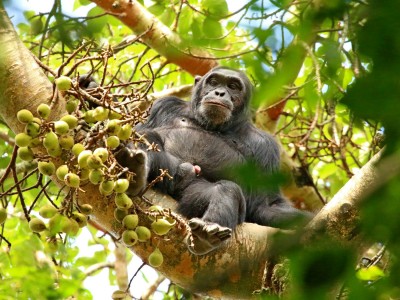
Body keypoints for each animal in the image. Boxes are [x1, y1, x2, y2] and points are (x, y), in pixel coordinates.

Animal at [115, 67, 312, 254]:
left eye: (233, 86)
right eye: (214, 82)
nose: (219, 92)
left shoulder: (266, 148)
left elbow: (265, 205)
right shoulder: (165, 105)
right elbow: (139, 131)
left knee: (226, 190)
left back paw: (207, 233)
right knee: (150, 136)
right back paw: (138, 167)